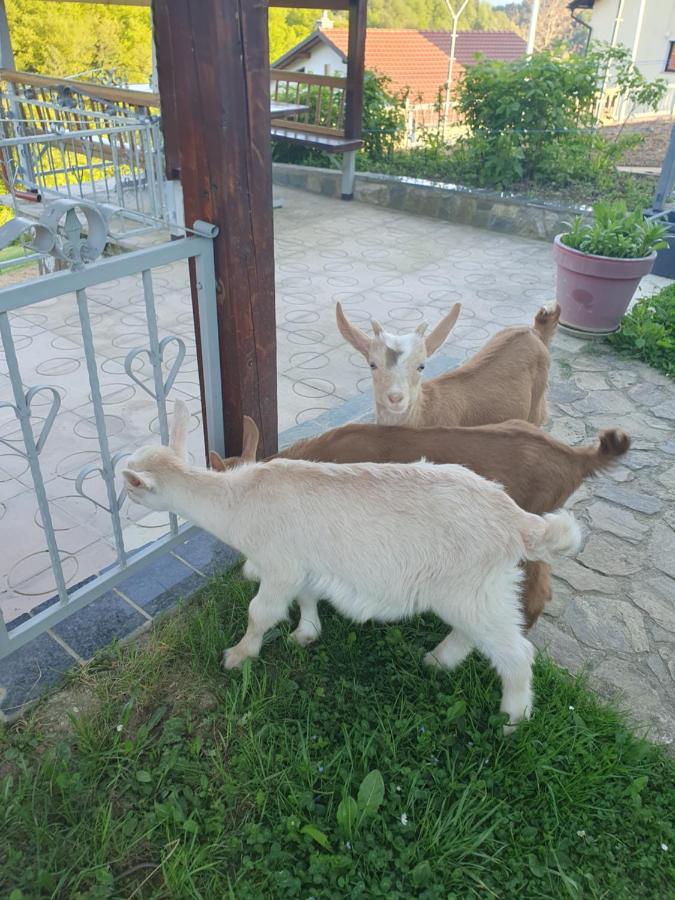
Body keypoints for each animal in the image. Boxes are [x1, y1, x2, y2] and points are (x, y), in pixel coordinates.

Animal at [124, 400, 581, 729]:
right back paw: (439, 661)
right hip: (482, 589)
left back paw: (512, 719)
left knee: (516, 652)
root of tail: (518, 521)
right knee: (476, 634)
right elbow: (308, 598)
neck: (239, 499)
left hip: (470, 588)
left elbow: (260, 612)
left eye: (132, 483)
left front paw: (238, 655)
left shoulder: (280, 564)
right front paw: (306, 633)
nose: (123, 495)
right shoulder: (308, 562)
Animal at [336, 302, 560, 427]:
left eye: (421, 366)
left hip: (536, 405)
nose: (395, 398)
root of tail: (535, 332)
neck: (424, 412)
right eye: (372, 364)